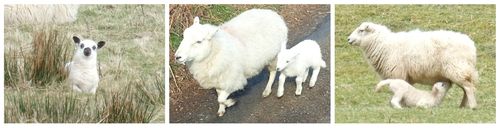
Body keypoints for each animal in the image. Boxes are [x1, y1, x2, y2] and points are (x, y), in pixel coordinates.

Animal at [348, 21, 480, 108]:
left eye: (361, 30)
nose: (348, 39)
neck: (383, 44)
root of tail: (470, 45)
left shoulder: (398, 73)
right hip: (461, 69)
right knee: (466, 88)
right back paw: (462, 106)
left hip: (457, 68)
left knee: (468, 88)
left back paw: (472, 106)